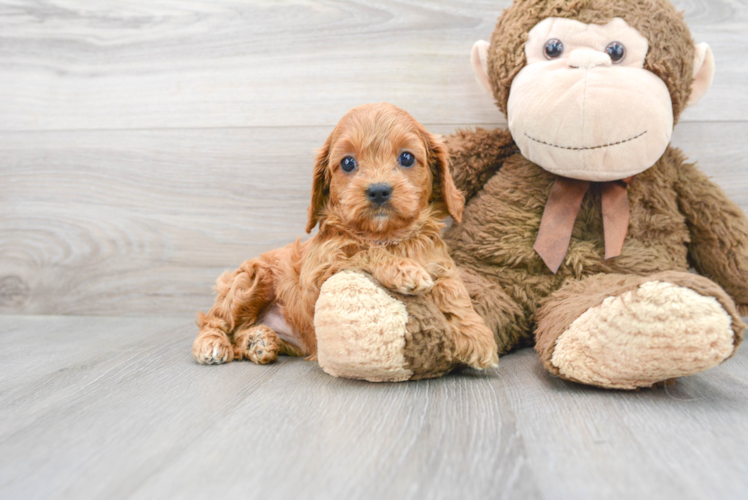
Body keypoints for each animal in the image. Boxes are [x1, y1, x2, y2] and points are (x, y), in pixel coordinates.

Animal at [193, 103, 496, 372]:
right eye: (348, 163)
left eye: (407, 158)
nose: (378, 190)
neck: (386, 236)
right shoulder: (318, 274)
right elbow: (362, 252)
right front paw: (403, 269)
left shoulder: (440, 263)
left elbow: (453, 290)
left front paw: (476, 334)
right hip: (252, 278)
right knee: (216, 320)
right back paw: (212, 343)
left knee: (242, 331)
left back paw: (259, 341)